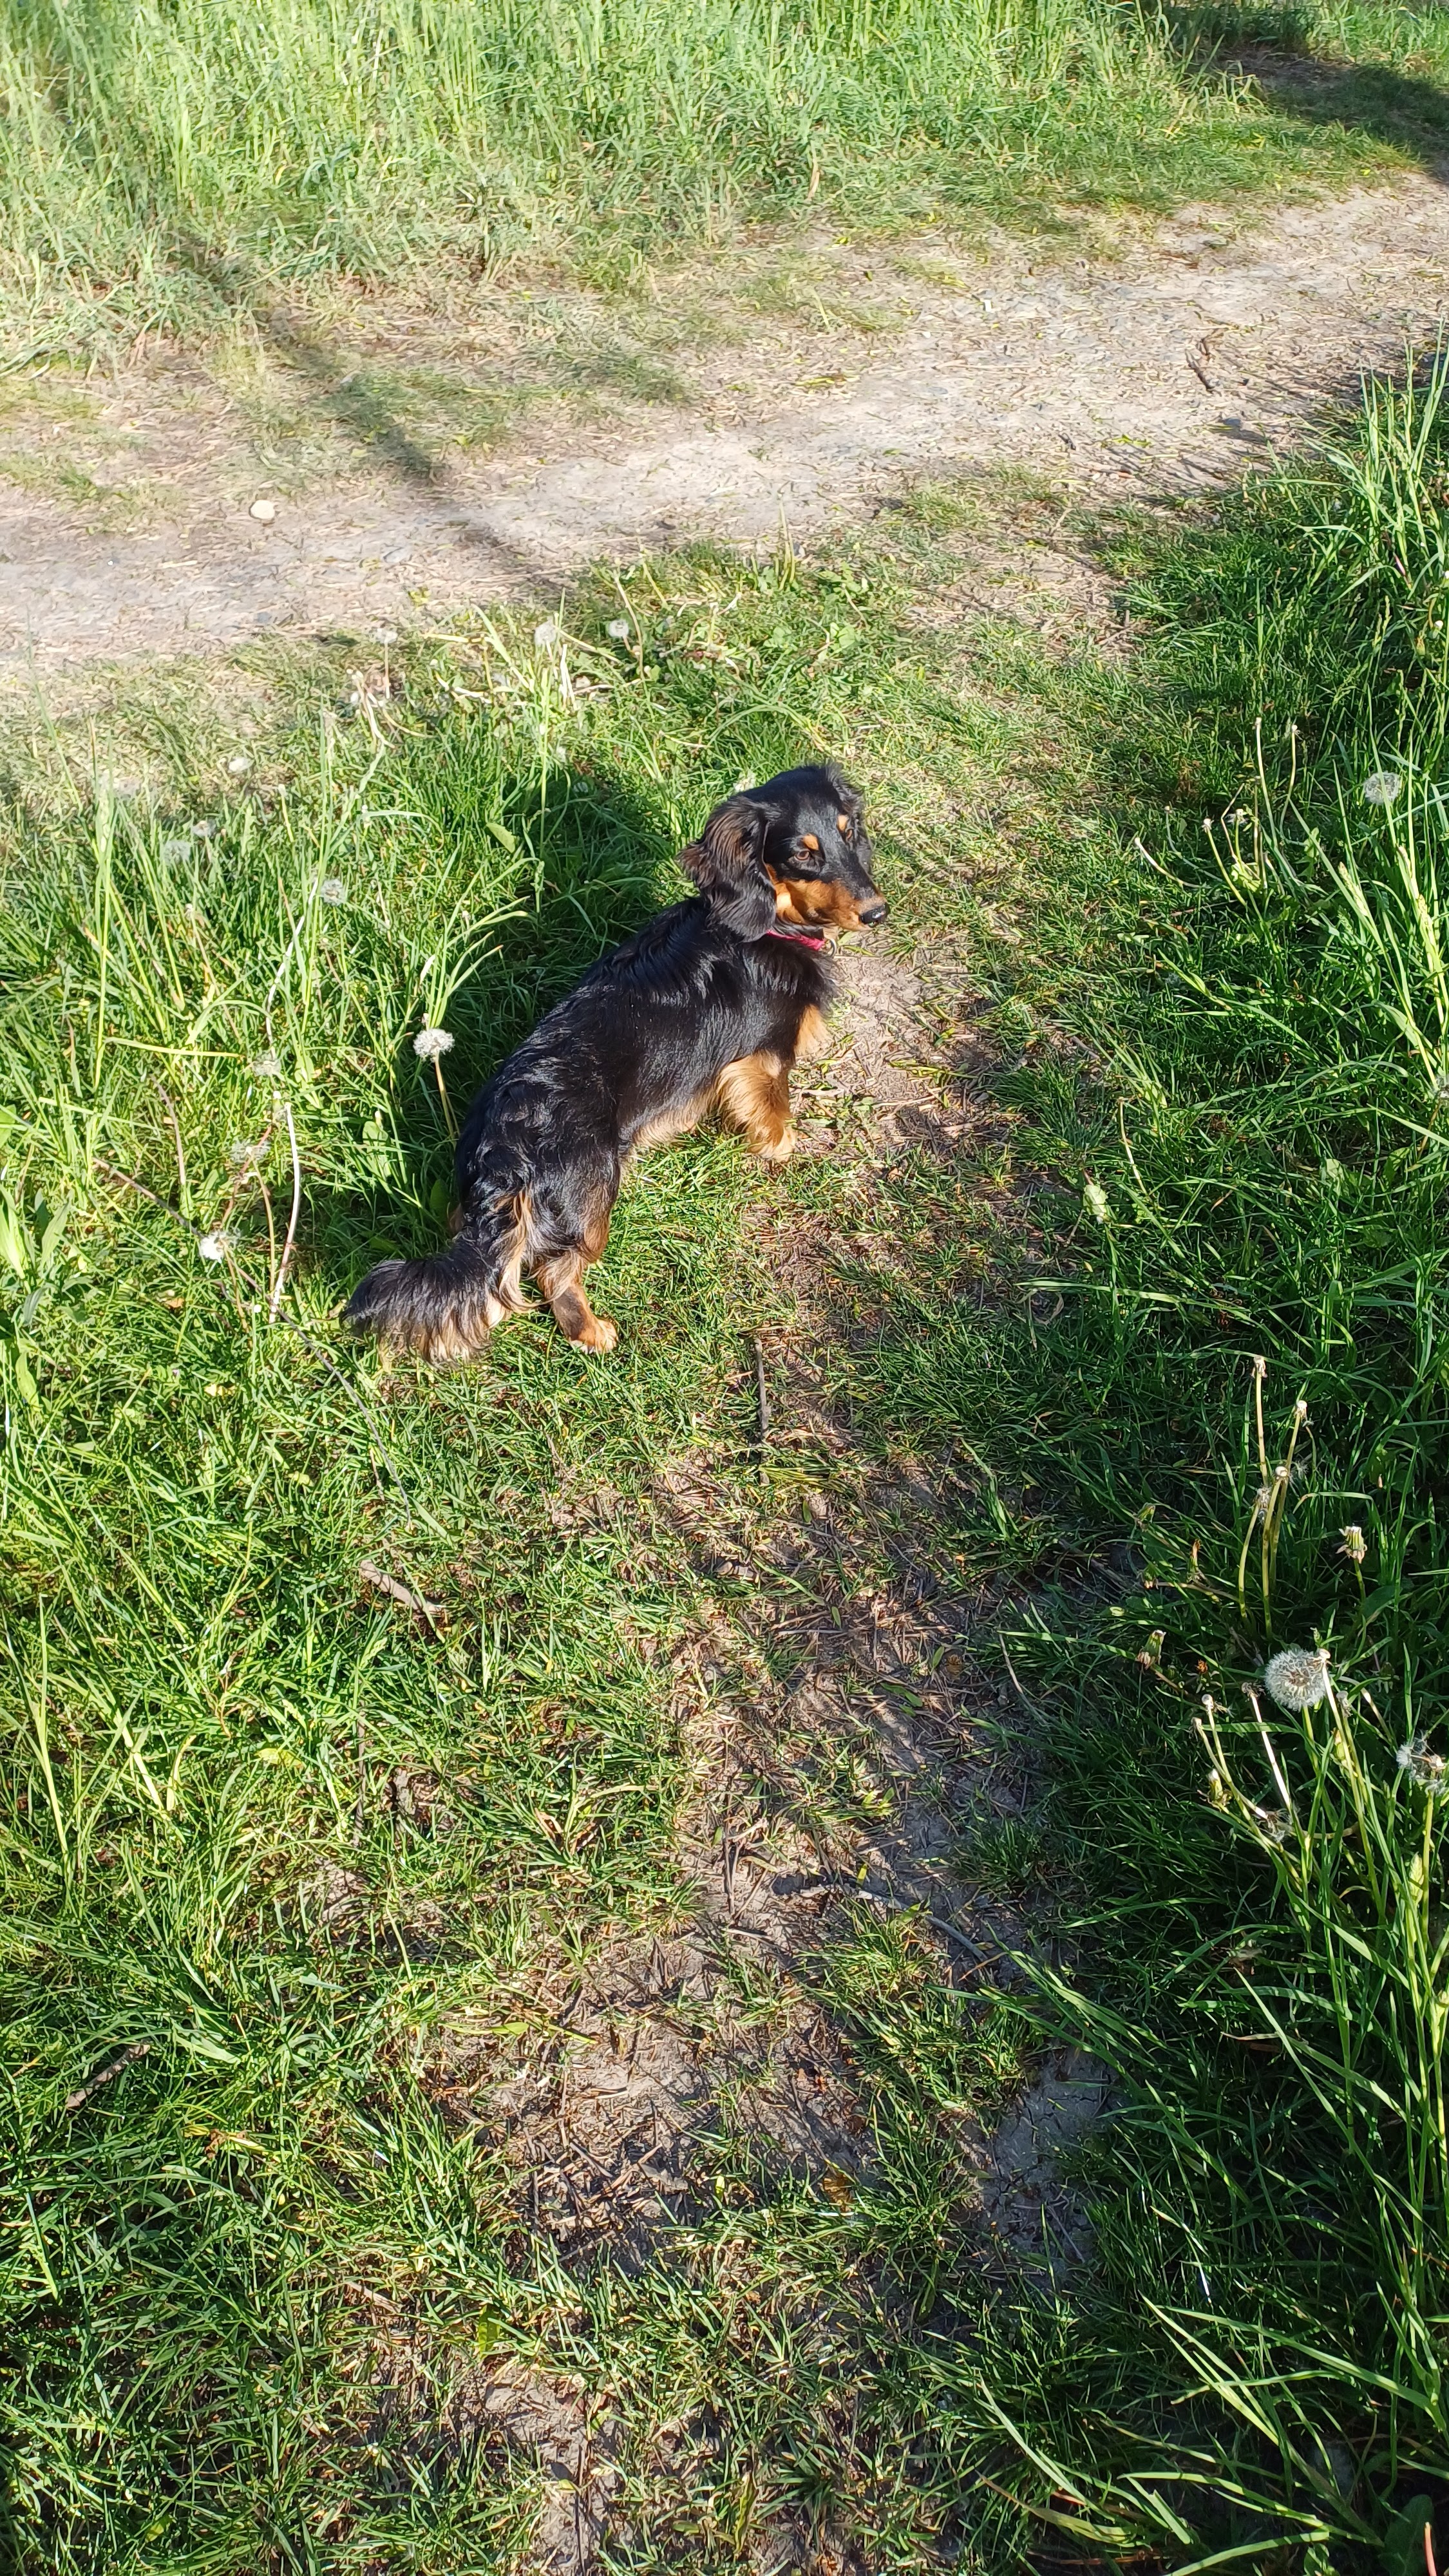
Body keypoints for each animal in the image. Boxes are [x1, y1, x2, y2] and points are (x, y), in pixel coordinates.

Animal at [345, 762, 887, 1359]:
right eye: (802, 855)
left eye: (849, 833)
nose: (877, 912)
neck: (766, 924)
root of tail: (505, 1146)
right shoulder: (762, 1059)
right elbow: (778, 1115)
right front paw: (780, 1149)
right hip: (592, 1198)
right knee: (551, 1274)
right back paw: (591, 1333)